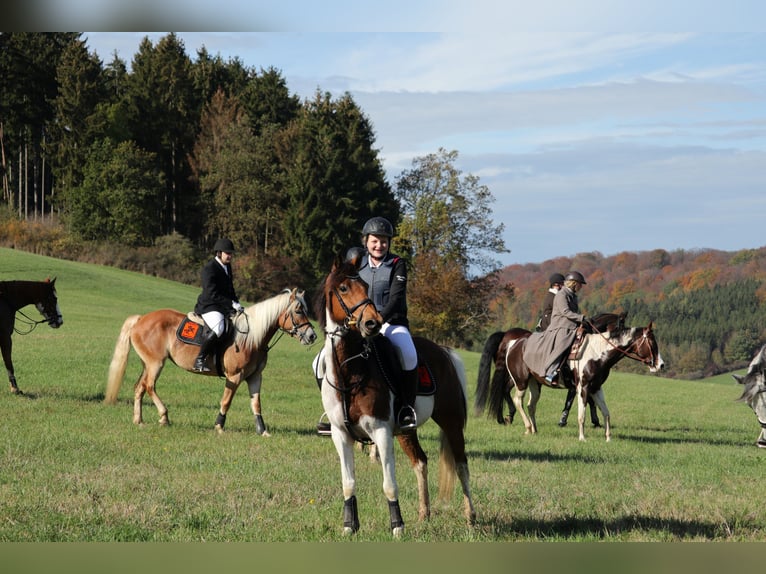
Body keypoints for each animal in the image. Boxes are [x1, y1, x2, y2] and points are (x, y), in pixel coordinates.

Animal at [104, 290, 316, 434]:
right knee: (149, 386)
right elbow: (226, 401)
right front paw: (219, 426)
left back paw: (139, 421)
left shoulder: (255, 376)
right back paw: (164, 416)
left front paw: (262, 431)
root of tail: (141, 319)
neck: (251, 338)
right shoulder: (234, 376)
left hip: (147, 364)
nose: (312, 336)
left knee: (139, 387)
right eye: (298, 311)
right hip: (156, 363)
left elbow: (256, 404)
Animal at [316, 256, 474, 540]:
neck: (350, 370)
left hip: (451, 422)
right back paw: (424, 514)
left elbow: (389, 483)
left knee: (461, 465)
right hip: (405, 430)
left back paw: (470, 516)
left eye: (364, 286)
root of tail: (443, 352)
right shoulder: (340, 434)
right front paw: (349, 526)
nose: (372, 323)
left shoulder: (380, 431)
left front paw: (397, 526)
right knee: (421, 462)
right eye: (343, 288)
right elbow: (348, 483)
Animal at [476, 318, 664, 444]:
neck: (598, 353)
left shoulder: (596, 388)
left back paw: (534, 429)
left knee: (530, 405)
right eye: (652, 343)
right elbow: (581, 414)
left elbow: (606, 412)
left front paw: (608, 437)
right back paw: (526, 427)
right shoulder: (583, 387)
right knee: (517, 400)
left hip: (534, 384)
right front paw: (582, 437)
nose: (661, 365)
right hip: (520, 382)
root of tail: (514, 343)